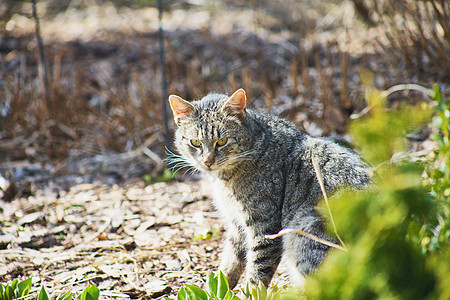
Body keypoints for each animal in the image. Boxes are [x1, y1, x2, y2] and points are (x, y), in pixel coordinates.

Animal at [167, 88, 368, 288]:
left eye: (222, 141)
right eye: (195, 143)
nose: (208, 161)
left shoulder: (265, 225)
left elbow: (257, 271)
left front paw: (249, 292)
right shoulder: (236, 223)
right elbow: (231, 261)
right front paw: (218, 287)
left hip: (304, 232)